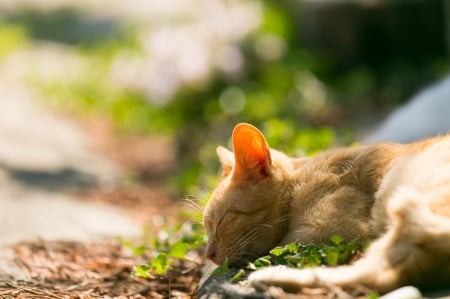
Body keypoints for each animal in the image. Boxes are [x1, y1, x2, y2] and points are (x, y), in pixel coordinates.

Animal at [203, 123, 450, 294]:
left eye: (221, 222)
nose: (209, 255)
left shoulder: (332, 230)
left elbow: (278, 249)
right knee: (384, 276)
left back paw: (269, 277)